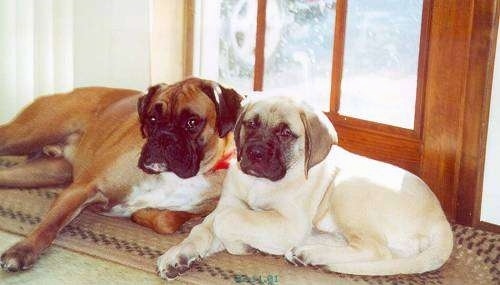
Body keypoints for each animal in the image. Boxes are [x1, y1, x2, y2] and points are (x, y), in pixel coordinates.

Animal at [0, 77, 243, 270]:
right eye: (152, 119)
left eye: (192, 122)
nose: (163, 137)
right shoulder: (82, 188)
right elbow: (49, 225)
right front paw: (22, 250)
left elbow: (166, 219)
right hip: (27, 135)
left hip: (47, 171)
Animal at [157, 95, 454, 278]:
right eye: (251, 124)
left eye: (285, 133)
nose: (254, 153)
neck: (260, 183)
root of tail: (441, 221)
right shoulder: (227, 205)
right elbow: (203, 228)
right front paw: (178, 255)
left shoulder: (287, 223)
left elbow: (227, 220)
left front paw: (243, 246)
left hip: (348, 189)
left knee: (376, 250)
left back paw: (306, 252)